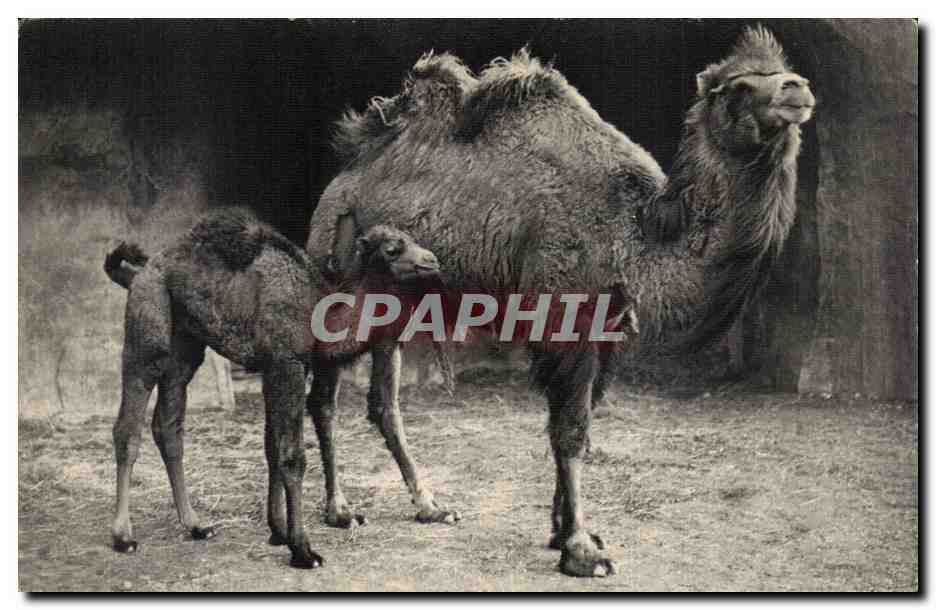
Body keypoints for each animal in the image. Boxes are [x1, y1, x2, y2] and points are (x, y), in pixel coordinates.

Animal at [104, 207, 441, 569]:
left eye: (411, 239)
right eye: (392, 249)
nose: (432, 260)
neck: (316, 309)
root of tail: (140, 272)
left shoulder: (276, 369)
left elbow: (272, 448)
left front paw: (278, 531)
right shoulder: (285, 363)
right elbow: (293, 456)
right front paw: (303, 550)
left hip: (185, 348)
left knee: (168, 427)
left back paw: (196, 526)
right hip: (147, 332)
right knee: (128, 427)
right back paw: (123, 536)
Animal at [306, 27, 814, 576]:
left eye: (784, 71)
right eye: (738, 86)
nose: (797, 89)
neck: (633, 234)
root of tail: (339, 182)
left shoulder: (607, 330)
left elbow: (579, 431)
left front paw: (564, 531)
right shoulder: (563, 320)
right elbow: (569, 431)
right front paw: (581, 550)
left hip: (394, 304)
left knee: (384, 405)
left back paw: (431, 507)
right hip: (335, 278)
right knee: (324, 397)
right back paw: (339, 511)